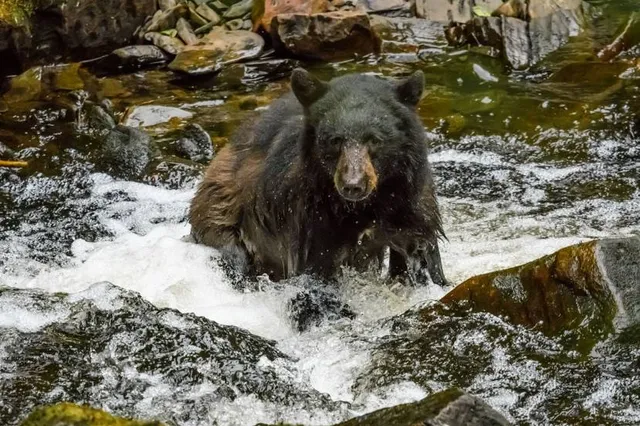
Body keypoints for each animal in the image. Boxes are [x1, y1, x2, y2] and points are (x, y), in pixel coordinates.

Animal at [189, 68, 447, 286]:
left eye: (374, 139)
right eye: (335, 140)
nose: (353, 185)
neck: (369, 205)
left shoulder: (409, 205)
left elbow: (423, 256)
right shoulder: (312, 215)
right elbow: (318, 266)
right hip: (223, 218)